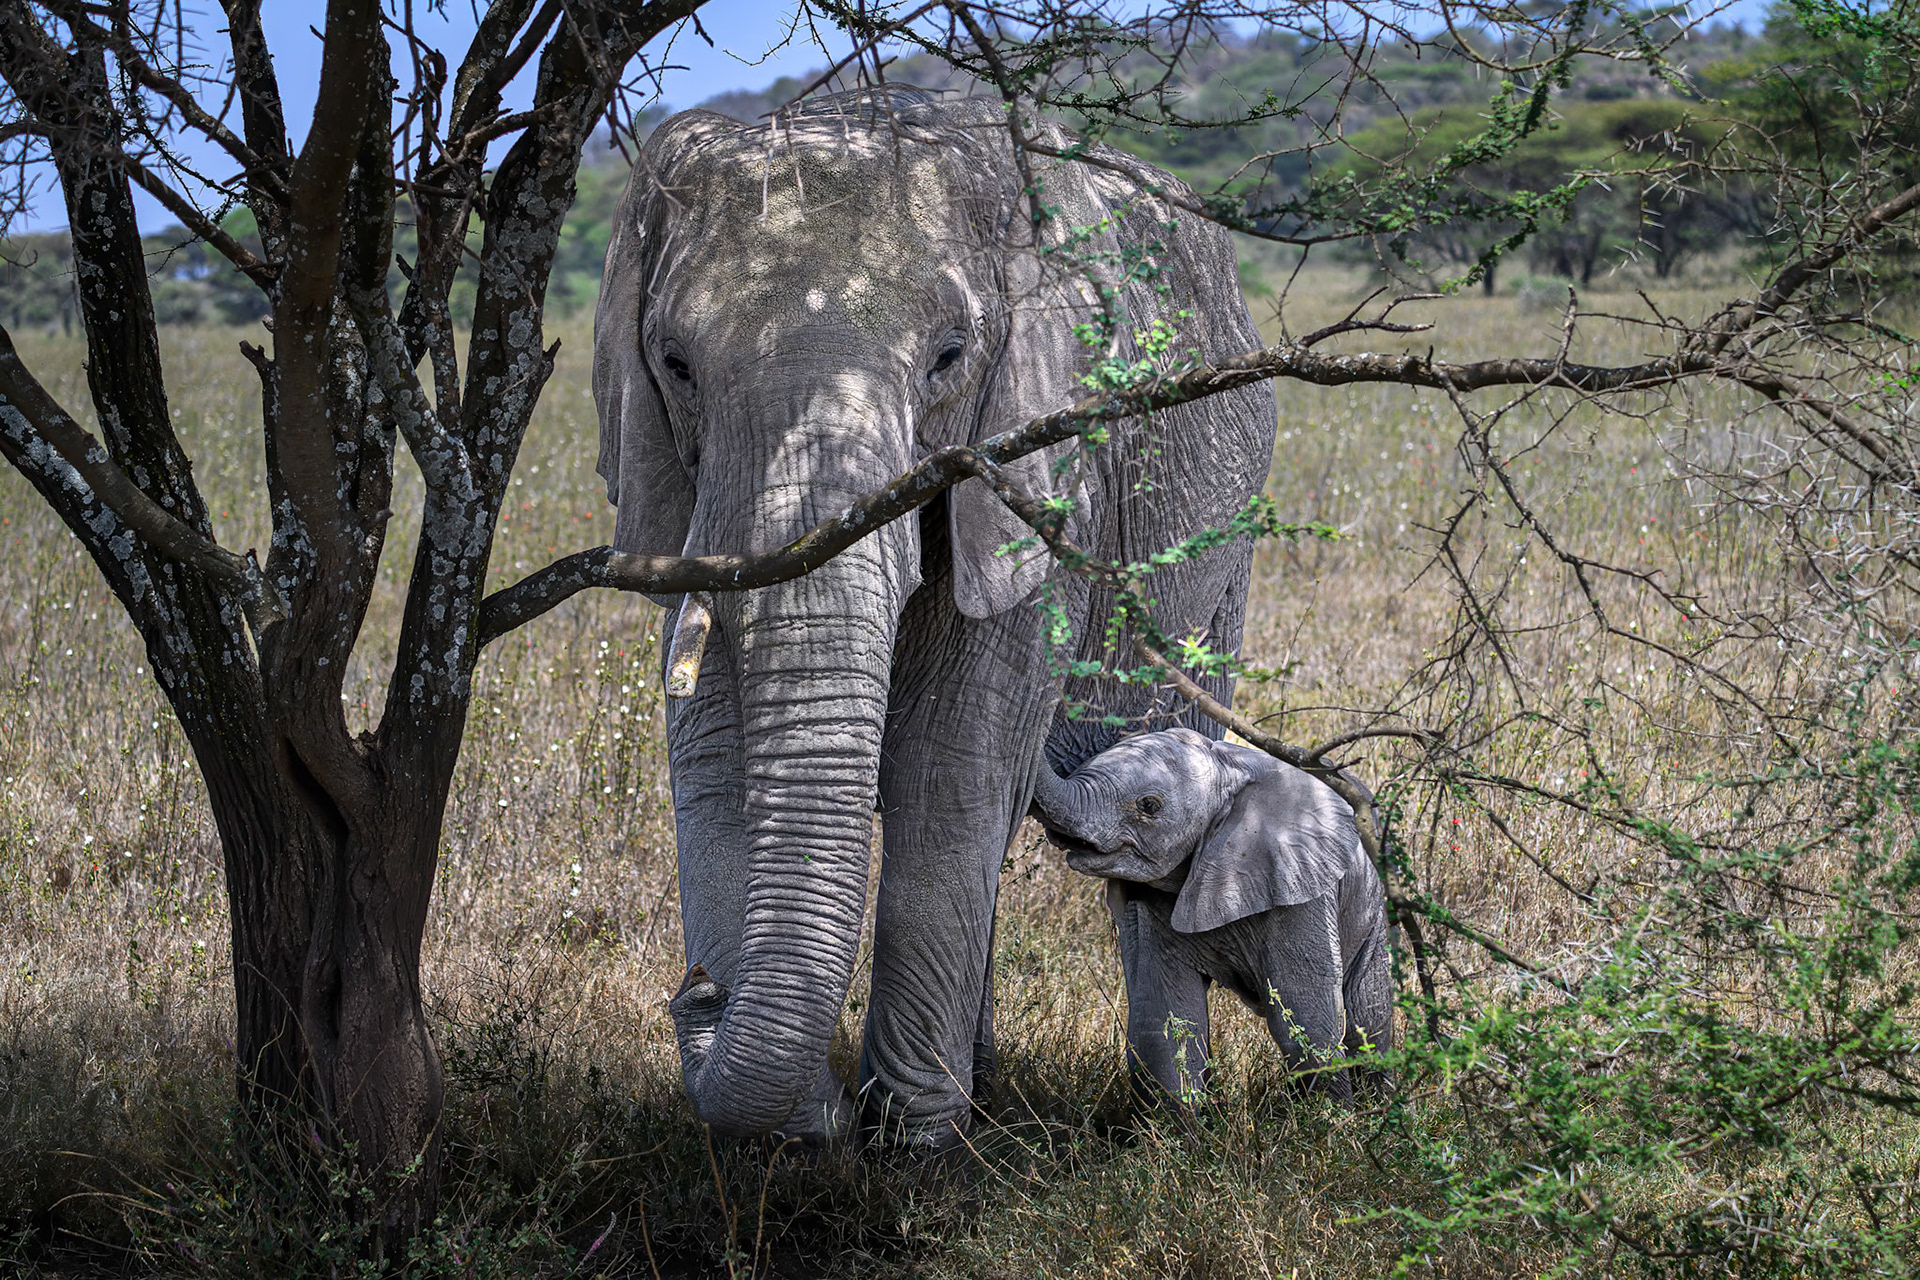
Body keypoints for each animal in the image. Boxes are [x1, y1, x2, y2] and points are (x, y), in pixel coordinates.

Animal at [593, 86, 1275, 1146]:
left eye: (949, 358)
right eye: (675, 364)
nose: (698, 987)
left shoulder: (1044, 468)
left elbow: (951, 759)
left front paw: (915, 1144)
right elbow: (710, 757)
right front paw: (804, 1136)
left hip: (1224, 537)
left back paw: (1163, 1119)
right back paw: (986, 1084)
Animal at [1029, 728, 1394, 1102]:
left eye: (1149, 805)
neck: (1227, 768)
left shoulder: (1300, 886)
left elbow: (1306, 1016)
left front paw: (1330, 1116)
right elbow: (1166, 1020)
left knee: (1368, 1016)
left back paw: (1378, 1103)